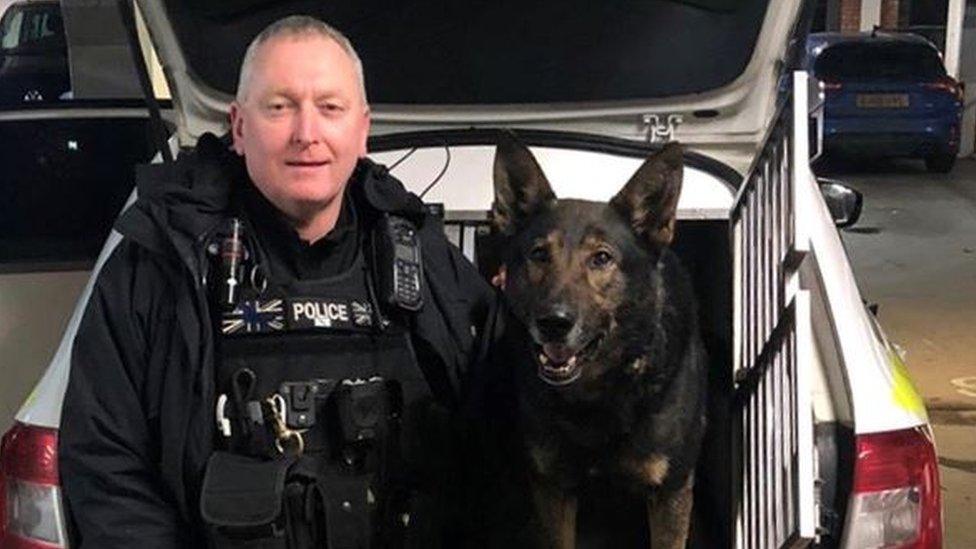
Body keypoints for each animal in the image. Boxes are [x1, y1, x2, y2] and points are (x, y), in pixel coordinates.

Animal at [492, 134, 704, 548]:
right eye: (539, 254)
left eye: (602, 258)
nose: (553, 323)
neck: (596, 396)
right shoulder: (552, 489)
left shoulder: (670, 493)